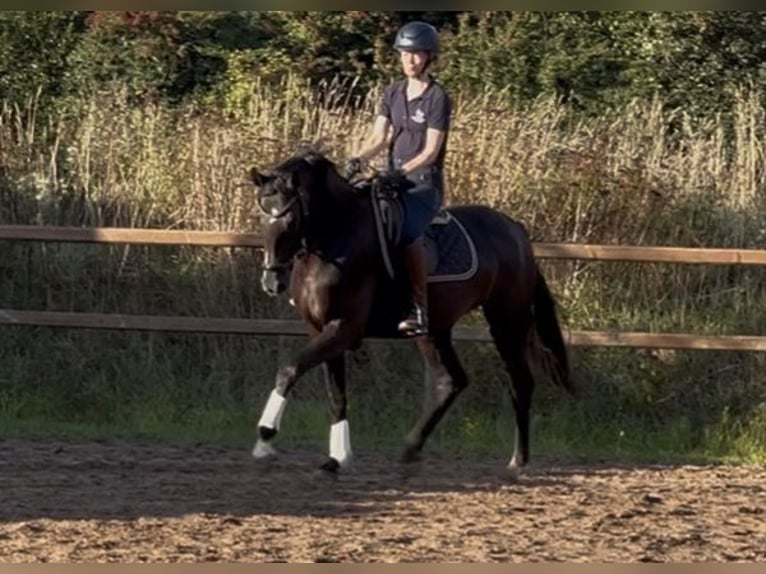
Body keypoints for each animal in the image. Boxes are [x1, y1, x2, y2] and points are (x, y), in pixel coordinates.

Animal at [248, 147, 576, 478]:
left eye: (289, 216)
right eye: (262, 215)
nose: (271, 281)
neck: (337, 238)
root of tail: (516, 230)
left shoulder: (345, 328)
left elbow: (289, 370)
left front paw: (265, 437)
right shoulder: (320, 328)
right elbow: (335, 393)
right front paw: (336, 458)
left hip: (506, 319)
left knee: (520, 382)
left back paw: (518, 461)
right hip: (434, 331)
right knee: (451, 381)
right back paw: (411, 449)